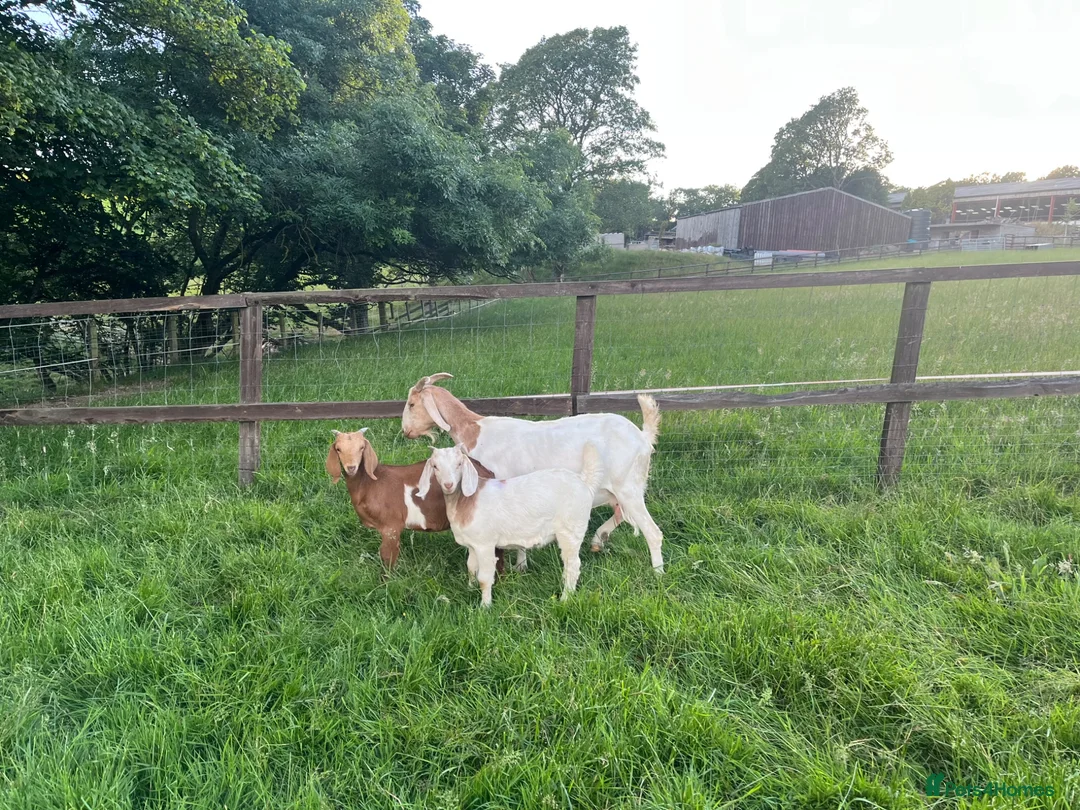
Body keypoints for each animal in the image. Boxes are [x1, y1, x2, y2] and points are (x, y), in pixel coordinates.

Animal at [325, 427, 505, 572]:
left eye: (361, 447)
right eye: (338, 449)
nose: (351, 467)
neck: (370, 483)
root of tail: (489, 473)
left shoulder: (391, 527)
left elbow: (387, 557)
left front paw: (386, 584)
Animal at [401, 373, 665, 572]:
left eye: (412, 404)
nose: (405, 431)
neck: (475, 433)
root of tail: (643, 437)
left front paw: (518, 566)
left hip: (628, 486)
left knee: (652, 531)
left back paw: (657, 572)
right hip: (620, 489)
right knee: (621, 514)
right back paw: (598, 539)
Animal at [418, 442, 604, 607]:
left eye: (459, 464)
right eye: (435, 466)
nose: (448, 485)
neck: (466, 500)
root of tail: (584, 482)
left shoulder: (485, 544)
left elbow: (484, 577)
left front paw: (485, 606)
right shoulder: (472, 544)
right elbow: (471, 567)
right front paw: (469, 588)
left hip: (571, 531)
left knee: (573, 565)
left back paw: (565, 599)